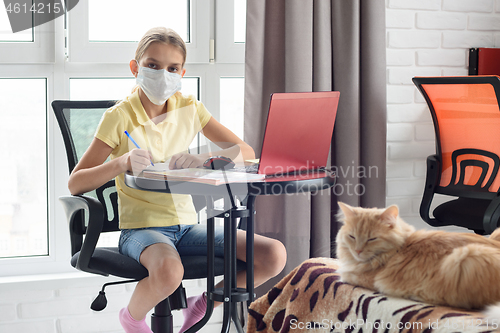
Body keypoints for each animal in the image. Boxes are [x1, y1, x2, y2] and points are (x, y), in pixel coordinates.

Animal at [336, 201, 500, 310]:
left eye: (372, 239)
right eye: (352, 237)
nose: (357, 250)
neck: (398, 249)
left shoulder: (362, 277)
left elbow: (344, 274)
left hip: (465, 257)